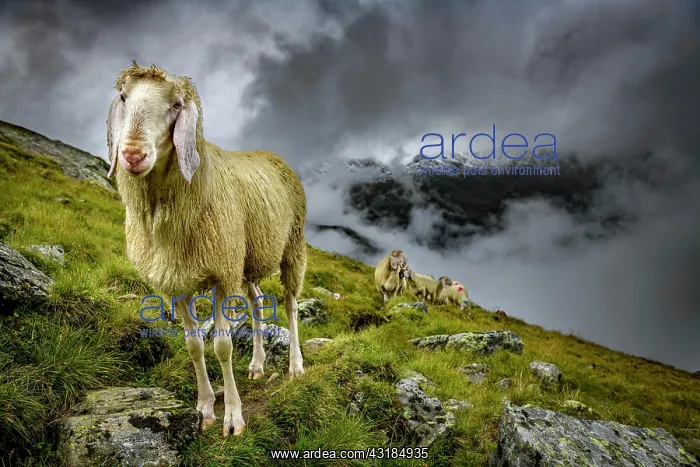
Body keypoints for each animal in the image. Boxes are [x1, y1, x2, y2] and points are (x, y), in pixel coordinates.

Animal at [106, 61, 307, 437]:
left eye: (176, 105)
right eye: (124, 97)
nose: (132, 155)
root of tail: (271, 154)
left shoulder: (221, 275)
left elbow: (222, 346)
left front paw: (233, 416)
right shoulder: (176, 281)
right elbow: (194, 345)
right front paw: (204, 407)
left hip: (292, 246)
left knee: (290, 305)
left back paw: (295, 366)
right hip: (246, 259)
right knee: (258, 302)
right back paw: (257, 364)